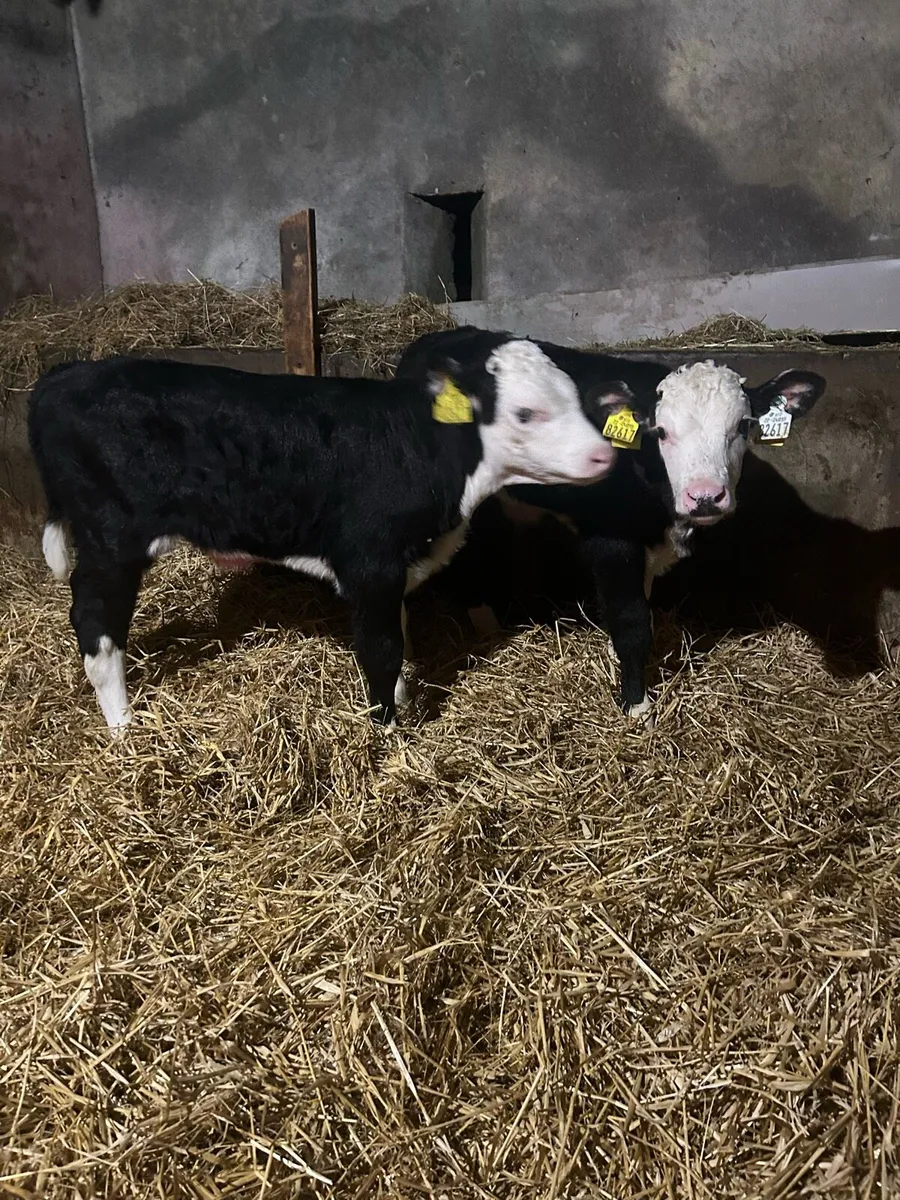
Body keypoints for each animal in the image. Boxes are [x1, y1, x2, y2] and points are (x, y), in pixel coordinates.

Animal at [28, 343, 629, 731]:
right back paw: (125, 727)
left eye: (577, 400)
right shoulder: (369, 562)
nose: (605, 455)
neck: (421, 447)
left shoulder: (393, 572)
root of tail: (64, 375)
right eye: (526, 413)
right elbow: (382, 651)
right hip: (113, 539)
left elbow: (398, 637)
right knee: (95, 624)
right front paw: (388, 735)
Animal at [395, 326, 826, 724]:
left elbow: (640, 606)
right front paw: (637, 705)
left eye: (742, 426)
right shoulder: (612, 541)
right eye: (662, 431)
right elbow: (632, 621)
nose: (705, 496)